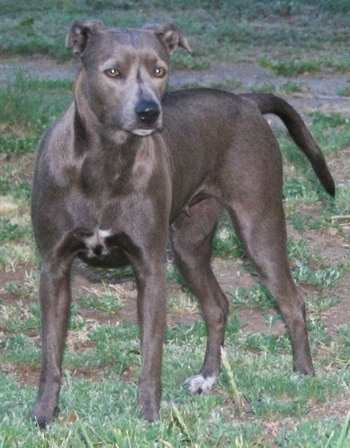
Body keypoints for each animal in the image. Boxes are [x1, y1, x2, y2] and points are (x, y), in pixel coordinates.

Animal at [30, 20, 334, 428]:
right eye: (112, 72)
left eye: (160, 70)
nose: (148, 112)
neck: (106, 162)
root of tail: (247, 101)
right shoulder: (54, 269)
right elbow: (51, 355)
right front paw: (44, 413)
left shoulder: (150, 270)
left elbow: (151, 356)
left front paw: (148, 415)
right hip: (189, 249)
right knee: (217, 305)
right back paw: (208, 377)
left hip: (259, 228)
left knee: (291, 301)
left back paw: (302, 372)